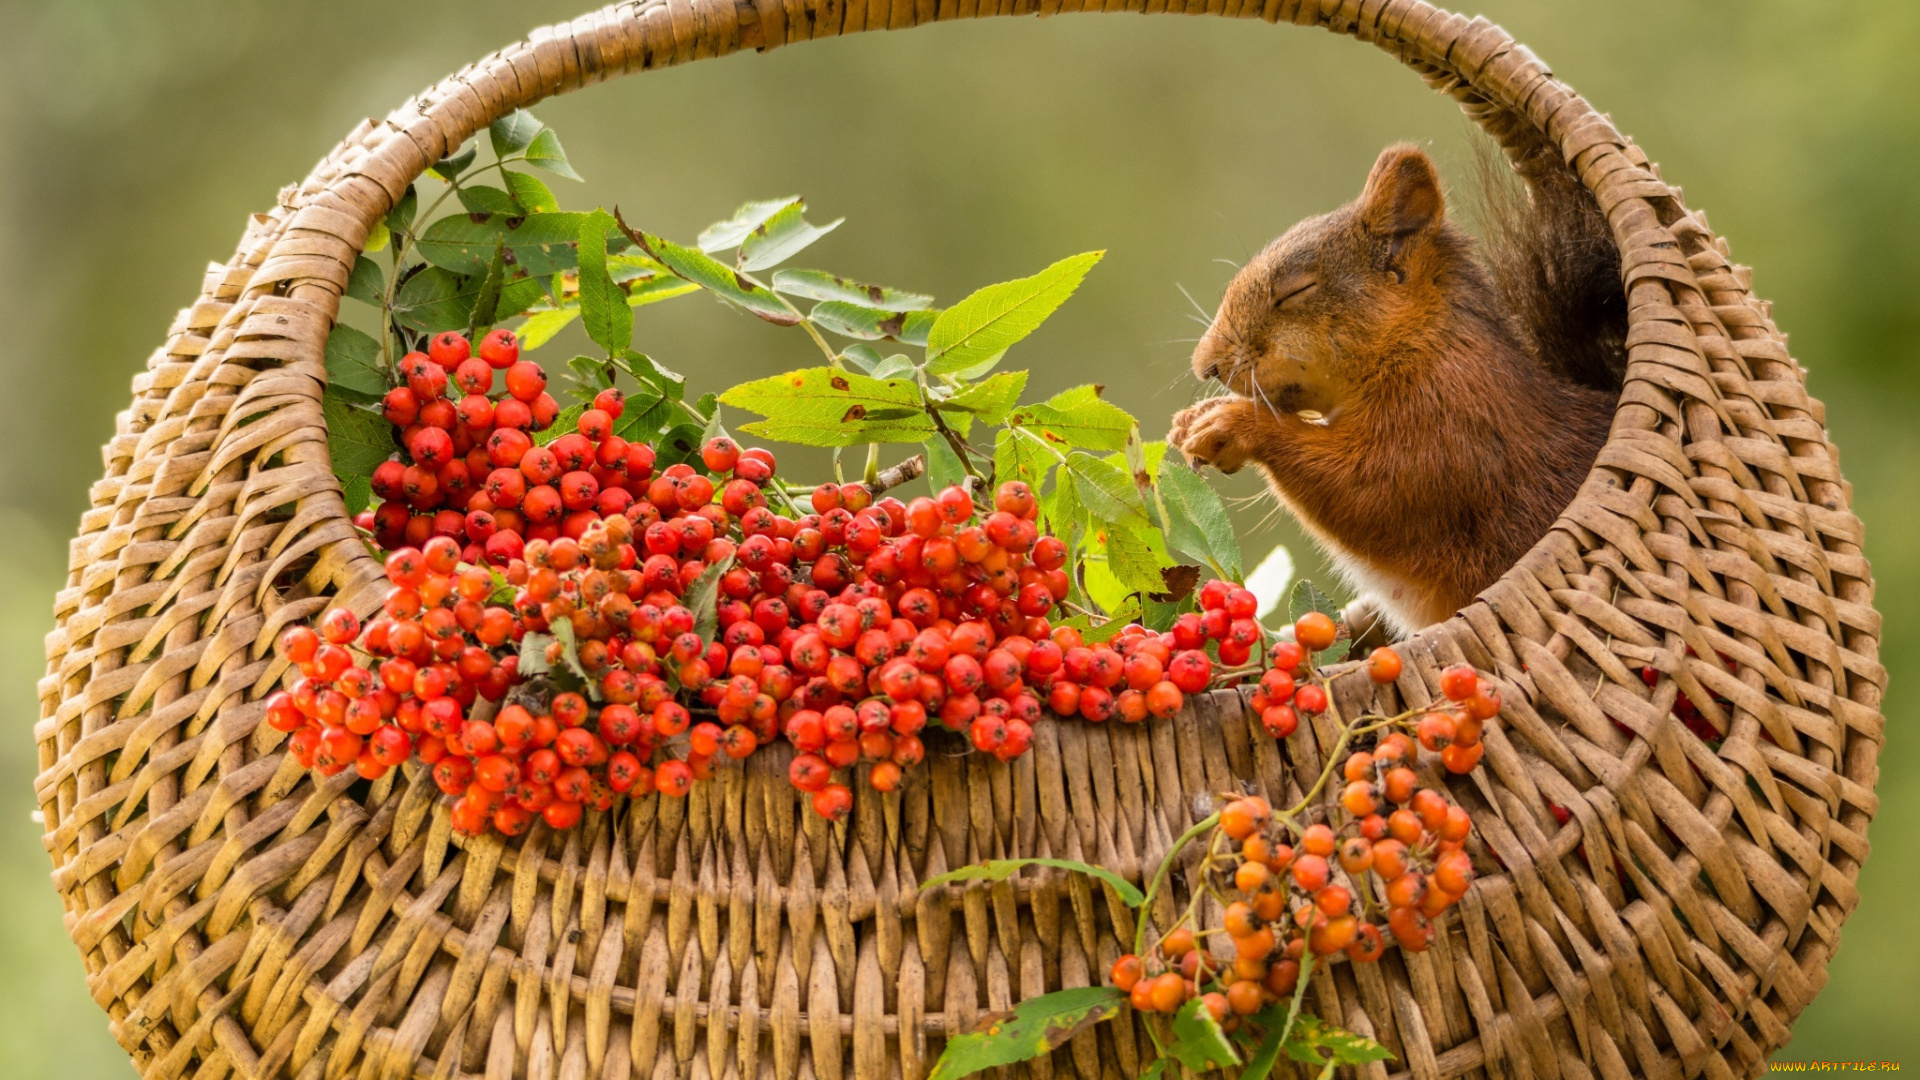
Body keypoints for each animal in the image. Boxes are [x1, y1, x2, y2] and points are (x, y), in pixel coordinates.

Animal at [1167, 133, 1620, 630]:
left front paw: (1231, 425)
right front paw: (1192, 417)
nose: (1205, 366)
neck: (1418, 345)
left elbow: (1370, 492)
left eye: (1296, 291)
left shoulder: (1449, 431)